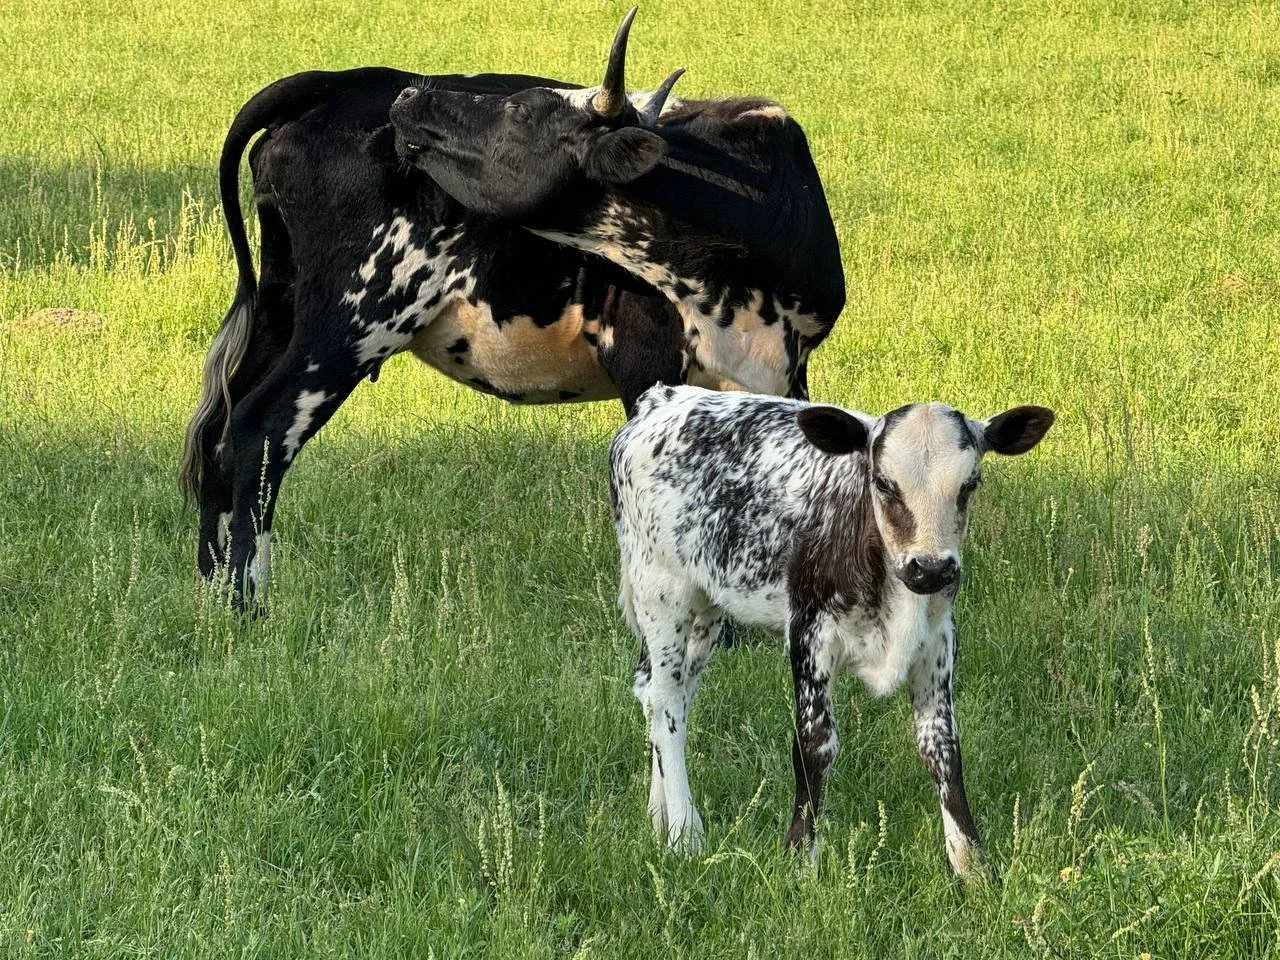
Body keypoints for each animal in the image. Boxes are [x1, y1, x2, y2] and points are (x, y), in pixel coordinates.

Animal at [180, 7, 844, 607]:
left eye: (522, 111)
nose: (413, 94)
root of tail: (338, 81)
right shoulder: (643, 361)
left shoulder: (788, 372)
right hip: (356, 315)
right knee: (262, 424)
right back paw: (247, 602)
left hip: (283, 303)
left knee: (219, 425)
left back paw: (209, 591)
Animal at [608, 384, 1054, 878]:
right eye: (883, 482)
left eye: (970, 484)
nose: (932, 567)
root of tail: (663, 398)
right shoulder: (807, 635)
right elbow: (814, 744)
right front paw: (799, 857)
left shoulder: (938, 643)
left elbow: (942, 748)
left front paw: (971, 863)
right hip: (661, 592)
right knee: (666, 700)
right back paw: (684, 831)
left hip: (707, 608)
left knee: (666, 695)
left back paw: (659, 814)